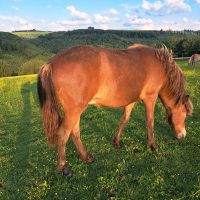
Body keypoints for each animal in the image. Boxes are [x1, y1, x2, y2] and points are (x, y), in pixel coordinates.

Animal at [36, 44, 193, 177]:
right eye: (185, 114)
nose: (182, 135)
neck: (160, 64)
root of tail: (50, 63)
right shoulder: (150, 98)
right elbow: (150, 121)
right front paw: (153, 145)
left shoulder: (132, 100)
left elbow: (124, 119)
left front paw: (117, 141)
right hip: (74, 111)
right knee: (63, 134)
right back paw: (64, 167)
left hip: (75, 111)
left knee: (74, 133)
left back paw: (86, 157)